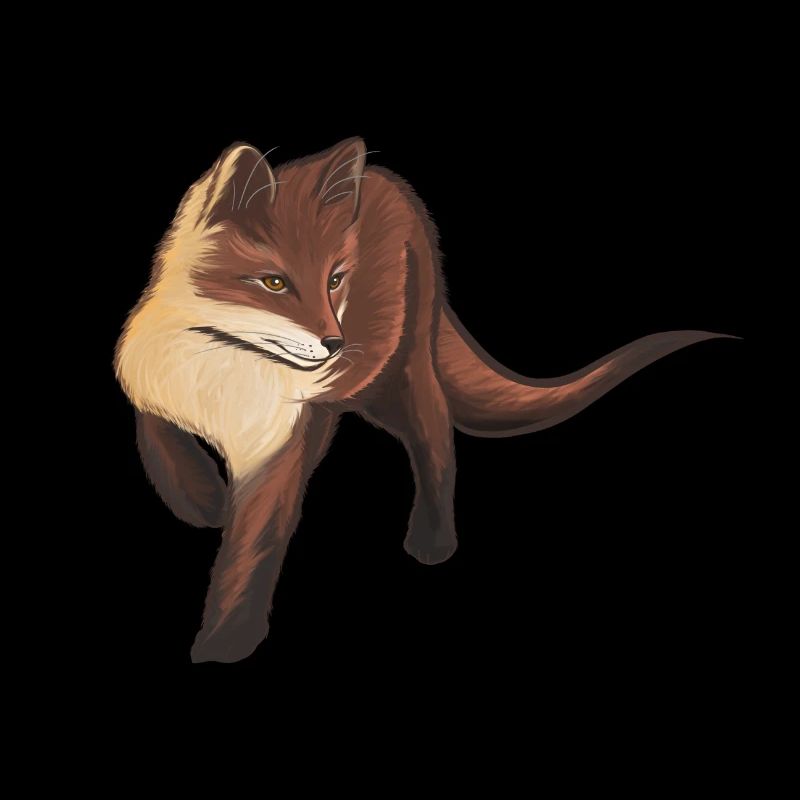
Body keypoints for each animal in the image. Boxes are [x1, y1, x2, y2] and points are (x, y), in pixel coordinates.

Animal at [115, 137, 731, 663]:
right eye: (273, 283)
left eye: (335, 281)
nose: (335, 344)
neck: (222, 375)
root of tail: (391, 185)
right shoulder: (147, 384)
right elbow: (158, 445)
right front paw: (202, 501)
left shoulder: (281, 449)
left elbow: (250, 552)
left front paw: (224, 642)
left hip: (398, 388)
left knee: (438, 446)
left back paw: (433, 542)